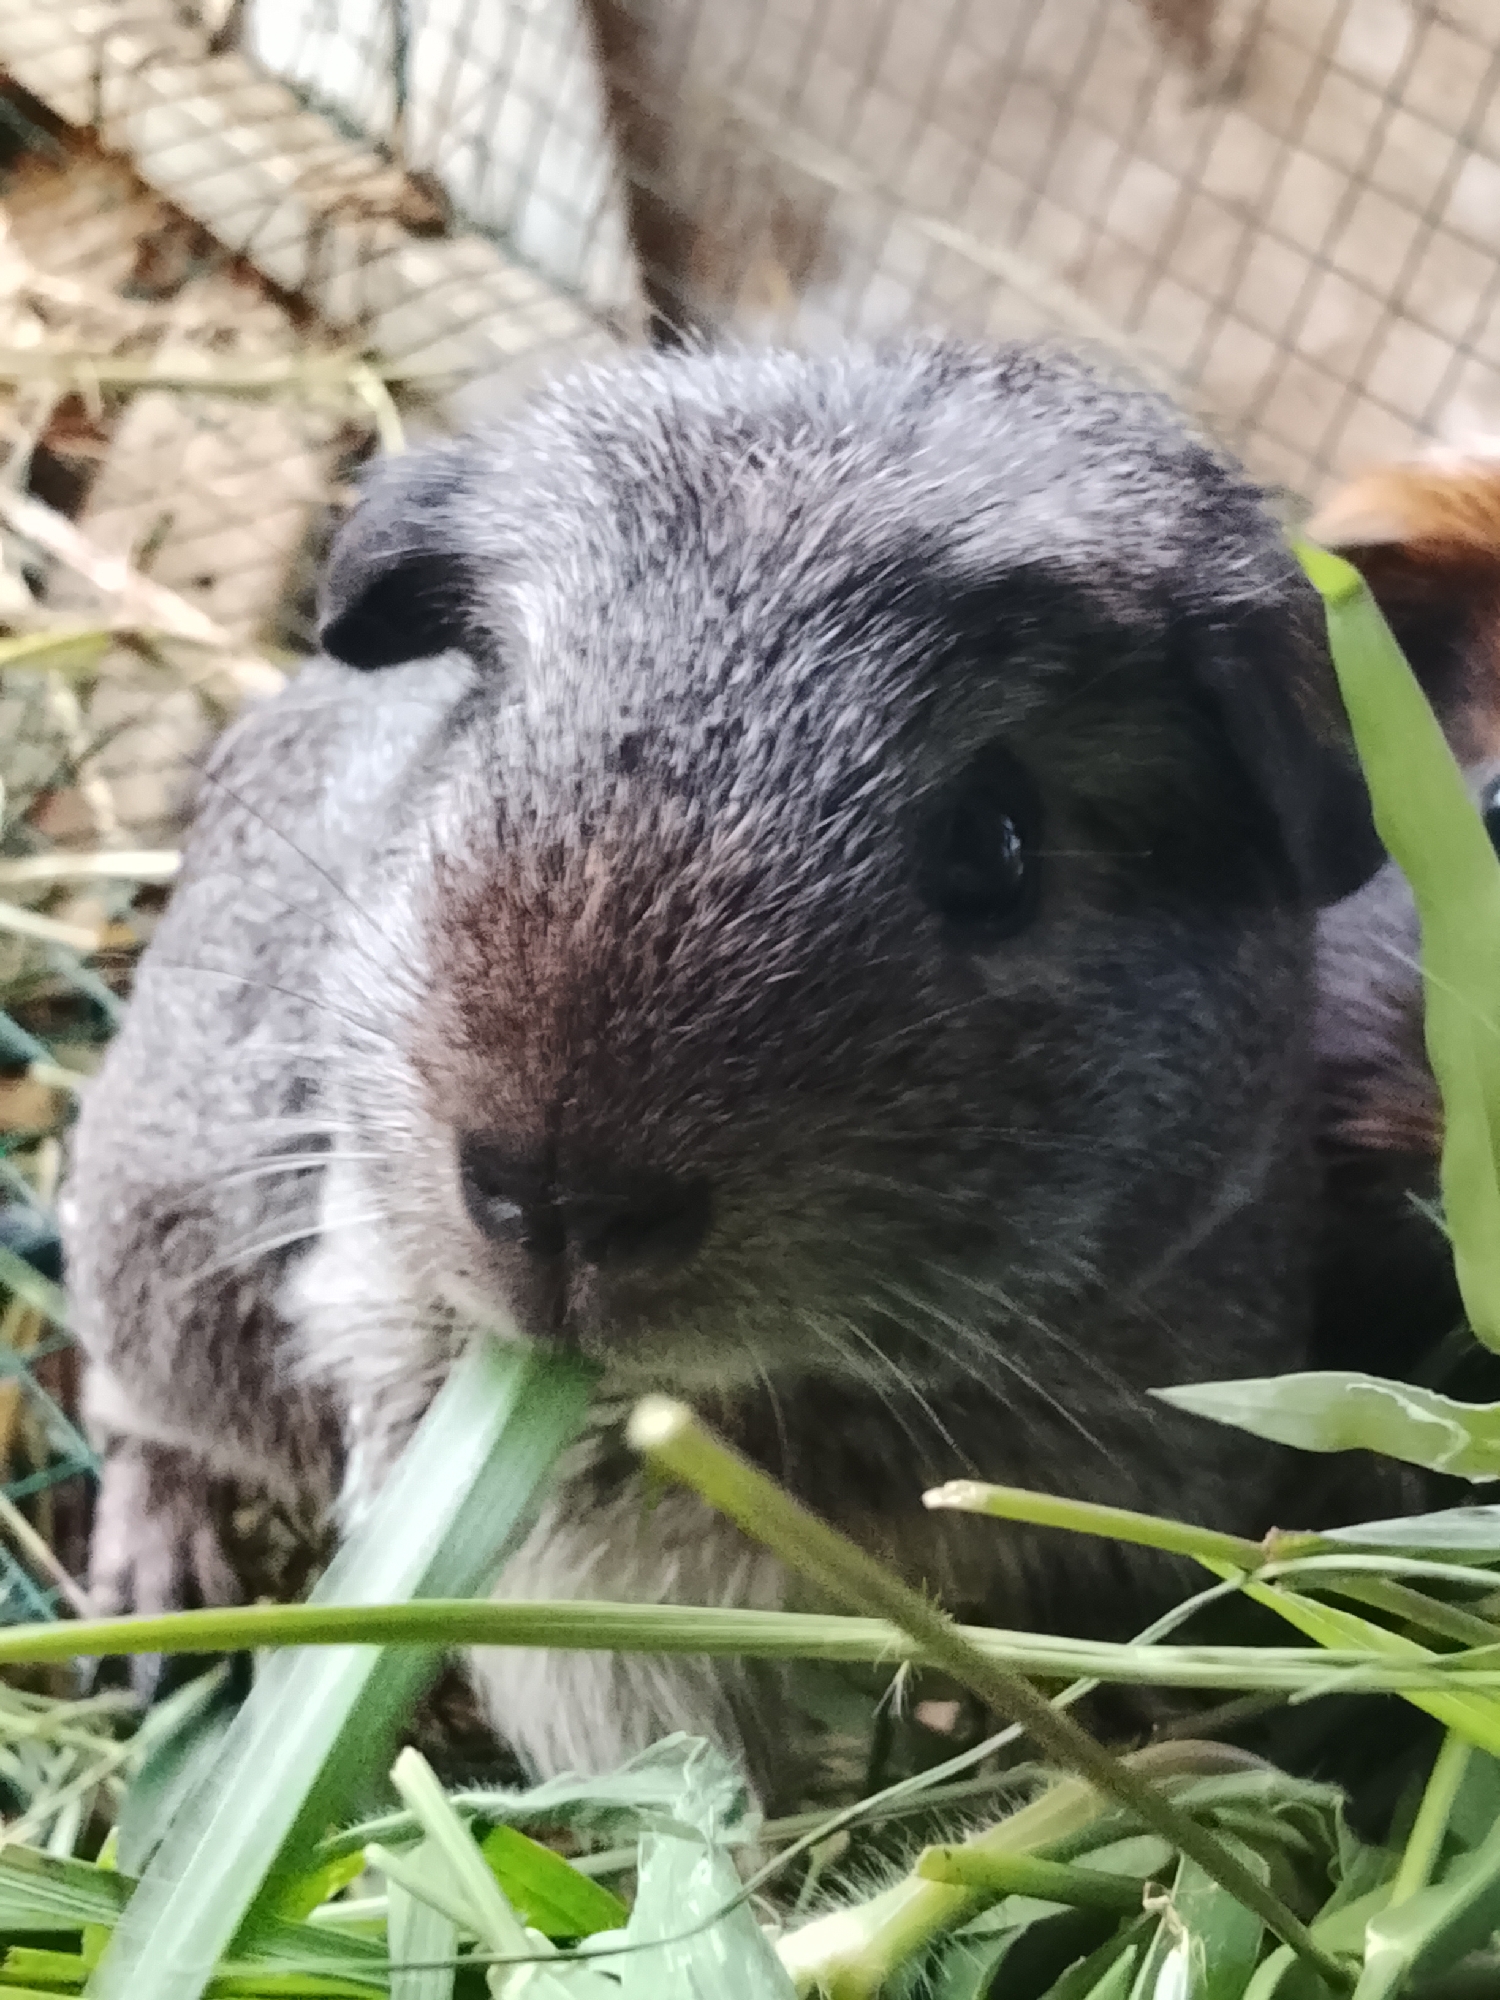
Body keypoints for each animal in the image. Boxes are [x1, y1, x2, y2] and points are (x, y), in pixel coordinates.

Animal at [61, 340, 1390, 1795]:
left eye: (999, 840)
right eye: (496, 719)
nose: (551, 1195)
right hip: (160, 1254)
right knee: (135, 1413)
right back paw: (147, 1617)